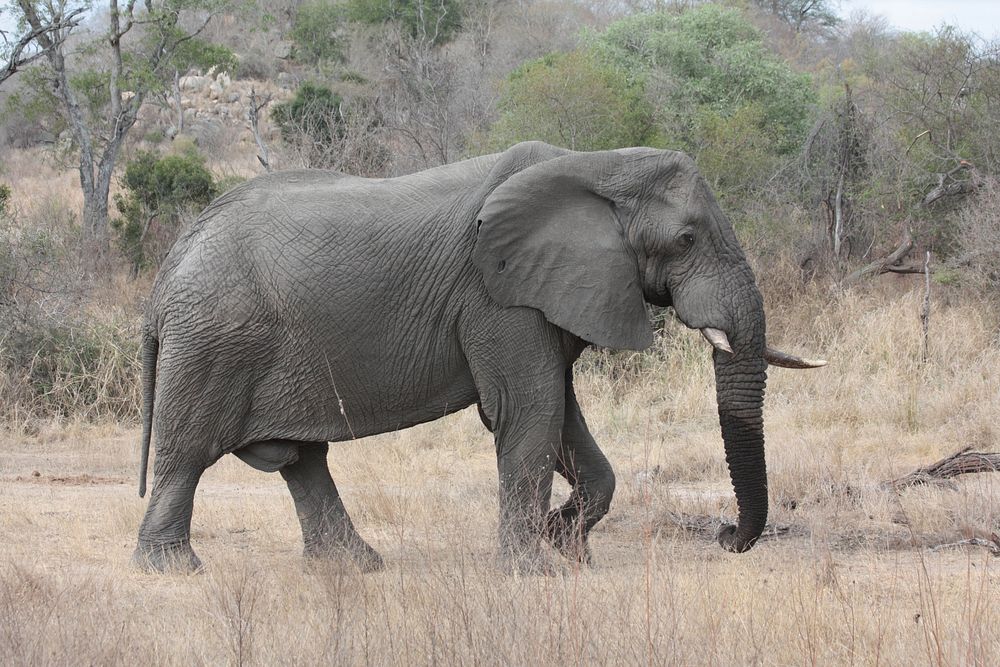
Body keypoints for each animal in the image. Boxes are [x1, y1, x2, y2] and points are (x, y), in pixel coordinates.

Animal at [129, 141, 824, 576]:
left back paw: (356, 567)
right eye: (685, 240)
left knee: (302, 461)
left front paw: (566, 547)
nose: (726, 536)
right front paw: (535, 570)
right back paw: (174, 568)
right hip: (213, 340)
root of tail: (166, 274)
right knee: (189, 452)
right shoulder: (495, 293)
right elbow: (527, 411)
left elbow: (560, 414)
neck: (597, 166)